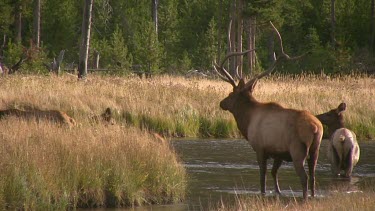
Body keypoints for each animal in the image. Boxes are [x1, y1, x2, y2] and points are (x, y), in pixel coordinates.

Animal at [216, 21, 324, 201]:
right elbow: (274, 173)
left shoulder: (260, 148)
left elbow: (263, 176)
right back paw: (313, 195)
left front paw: (263, 192)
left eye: (231, 94)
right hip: (315, 149)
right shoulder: (278, 153)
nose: (221, 103)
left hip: (298, 149)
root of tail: (316, 128)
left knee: (304, 177)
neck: (247, 121)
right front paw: (278, 192)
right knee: (314, 176)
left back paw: (304, 198)